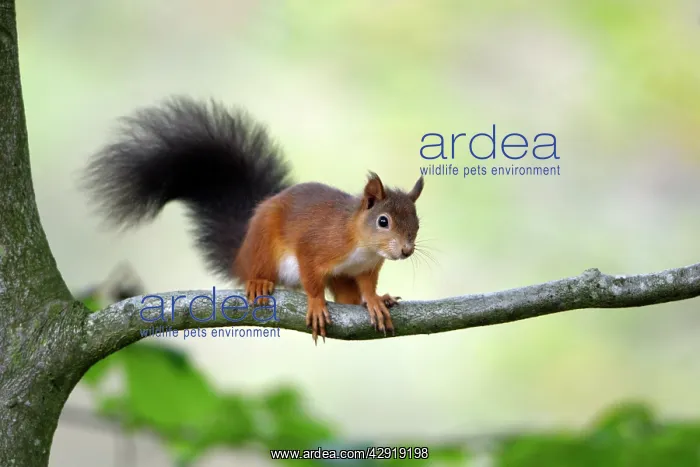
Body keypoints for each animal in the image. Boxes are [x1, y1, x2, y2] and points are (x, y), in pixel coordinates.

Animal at [82, 96, 424, 343]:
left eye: (417, 223)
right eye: (383, 221)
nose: (406, 250)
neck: (361, 245)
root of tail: (241, 254)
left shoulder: (365, 269)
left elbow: (366, 287)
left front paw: (375, 300)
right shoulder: (315, 246)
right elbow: (312, 278)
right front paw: (316, 304)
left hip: (338, 277)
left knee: (347, 297)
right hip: (263, 246)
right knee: (260, 271)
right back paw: (259, 282)